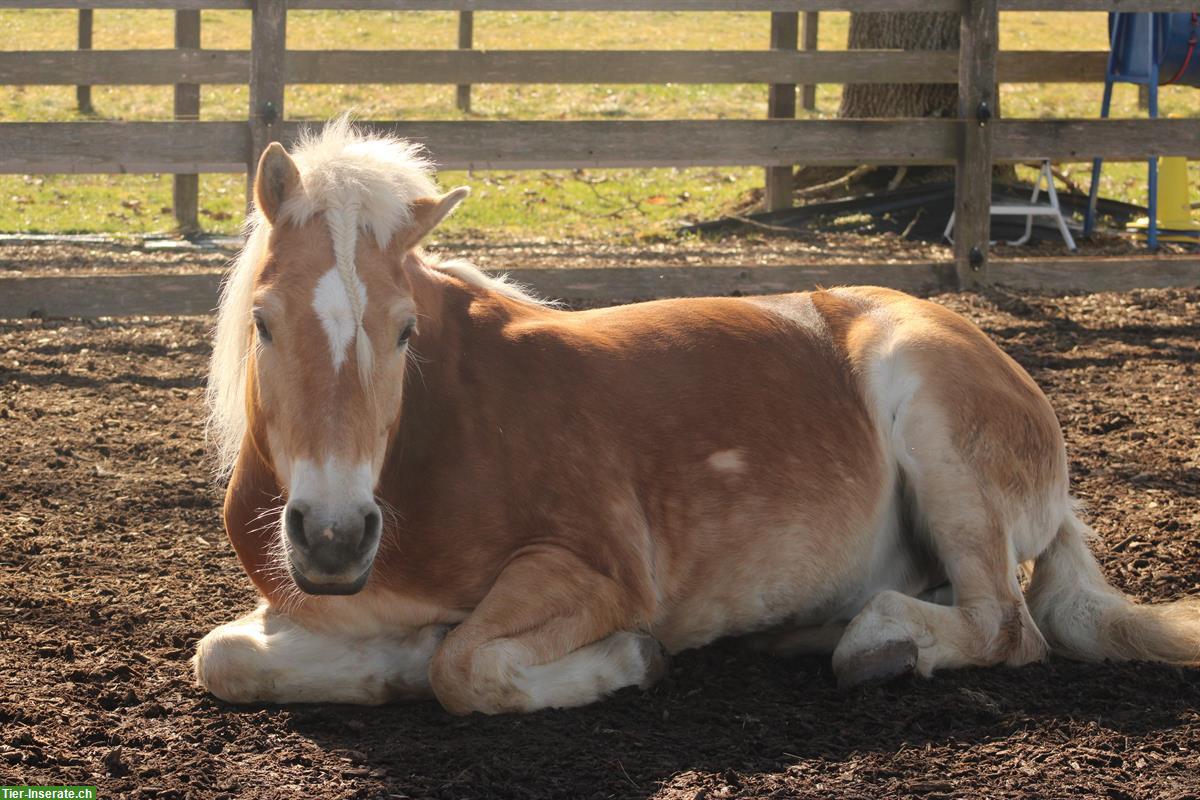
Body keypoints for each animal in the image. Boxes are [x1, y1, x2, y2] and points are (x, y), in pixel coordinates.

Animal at [192, 117, 1195, 714]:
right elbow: (224, 656)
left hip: (933, 422)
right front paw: (386, 664)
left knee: (1005, 627)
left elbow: (465, 666)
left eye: (404, 332)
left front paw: (625, 663)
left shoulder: (596, 573)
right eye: (263, 321)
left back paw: (876, 642)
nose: (332, 537)